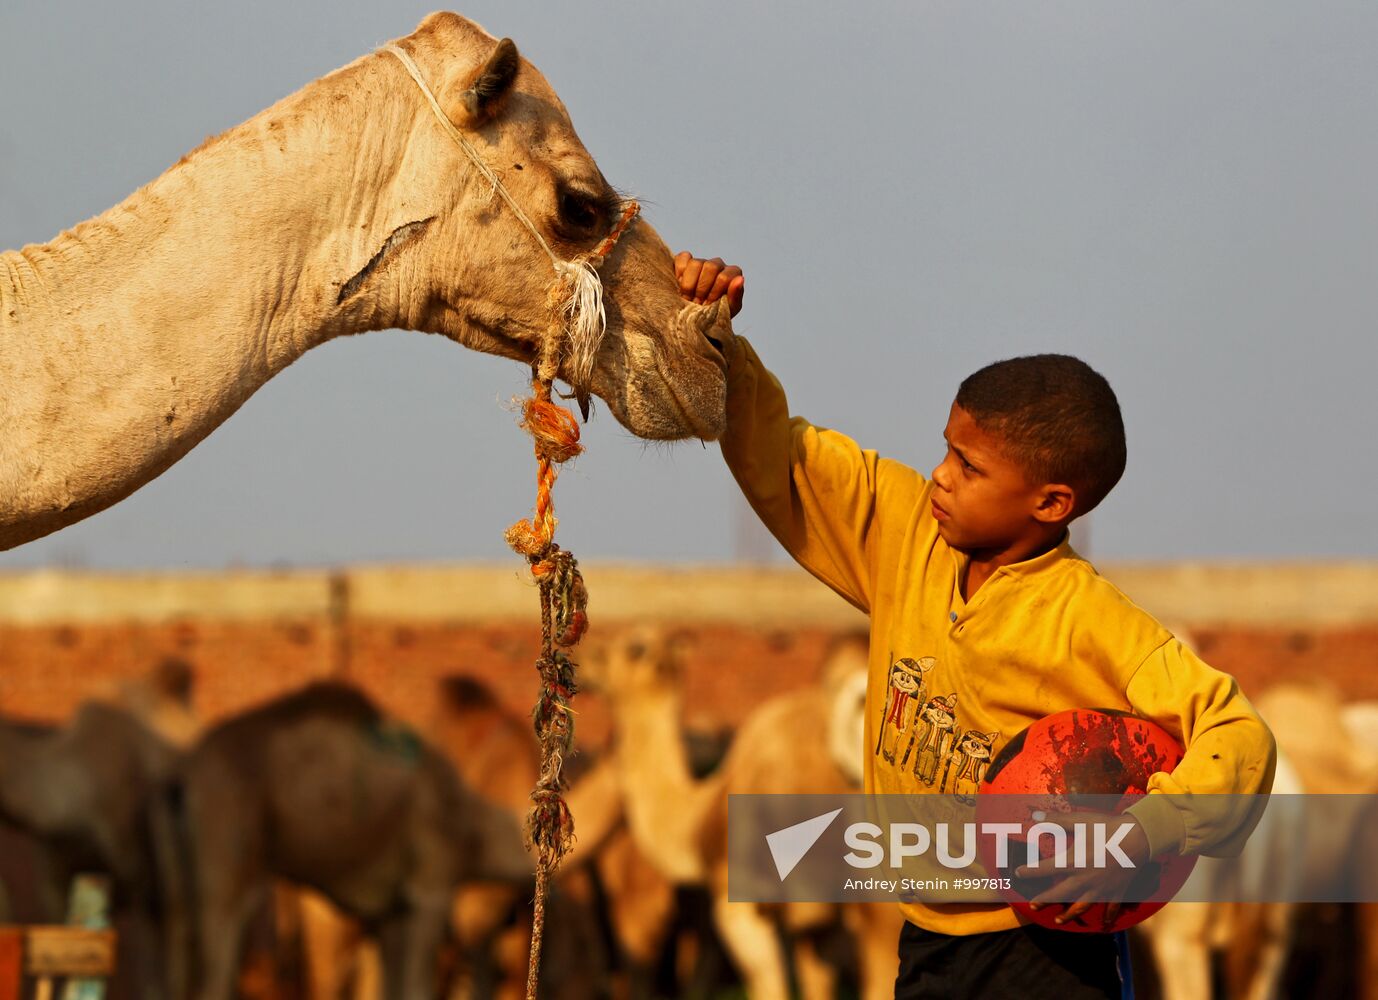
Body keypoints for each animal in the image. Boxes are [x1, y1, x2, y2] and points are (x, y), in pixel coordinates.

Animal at [587, 628, 909, 1000]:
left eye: (634, 647)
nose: (587, 657)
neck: (703, 815)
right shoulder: (816, 923)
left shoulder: (739, 903)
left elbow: (769, 986)